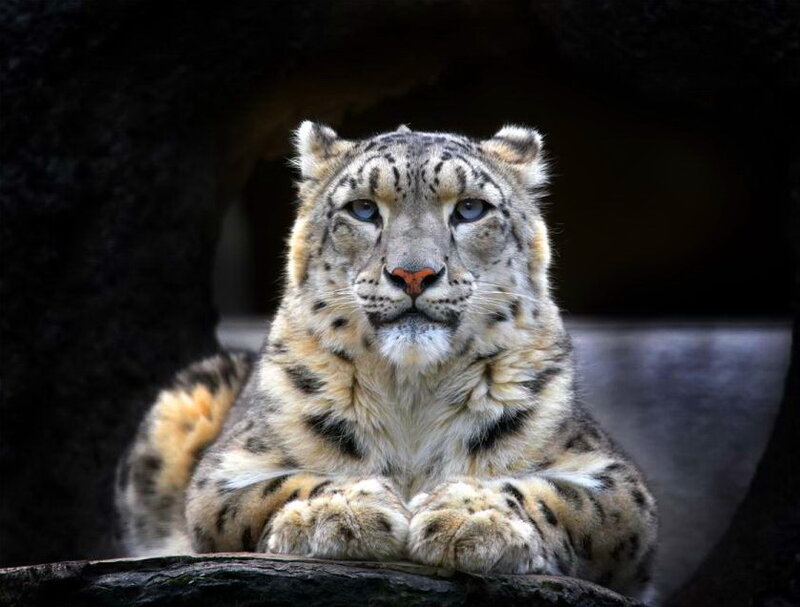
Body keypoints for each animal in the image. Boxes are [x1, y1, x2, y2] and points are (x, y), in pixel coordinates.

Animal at [116, 121, 658, 601]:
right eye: (362, 209)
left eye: (470, 209)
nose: (413, 274)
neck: (412, 394)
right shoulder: (227, 470)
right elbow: (277, 487)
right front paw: (342, 511)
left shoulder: (614, 479)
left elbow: (559, 496)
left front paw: (470, 516)